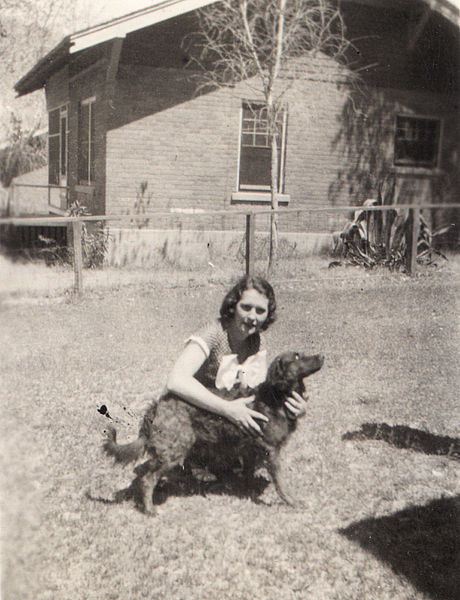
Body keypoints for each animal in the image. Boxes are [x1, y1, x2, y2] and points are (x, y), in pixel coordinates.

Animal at [103, 352, 324, 516]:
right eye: (296, 357)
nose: (321, 356)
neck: (275, 397)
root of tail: (158, 404)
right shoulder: (271, 450)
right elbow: (281, 483)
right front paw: (292, 501)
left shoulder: (253, 449)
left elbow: (248, 471)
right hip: (176, 448)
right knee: (148, 479)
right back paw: (150, 509)